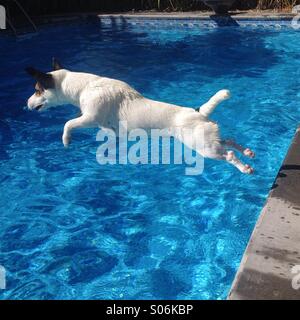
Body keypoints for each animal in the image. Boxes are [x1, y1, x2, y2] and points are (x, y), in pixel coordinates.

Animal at [25, 58, 254, 174]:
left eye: (36, 90)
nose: (26, 104)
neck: (84, 86)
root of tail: (198, 111)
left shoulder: (89, 118)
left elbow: (68, 123)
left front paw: (66, 140)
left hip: (204, 148)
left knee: (228, 154)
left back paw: (244, 167)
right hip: (208, 139)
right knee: (228, 140)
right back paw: (247, 151)